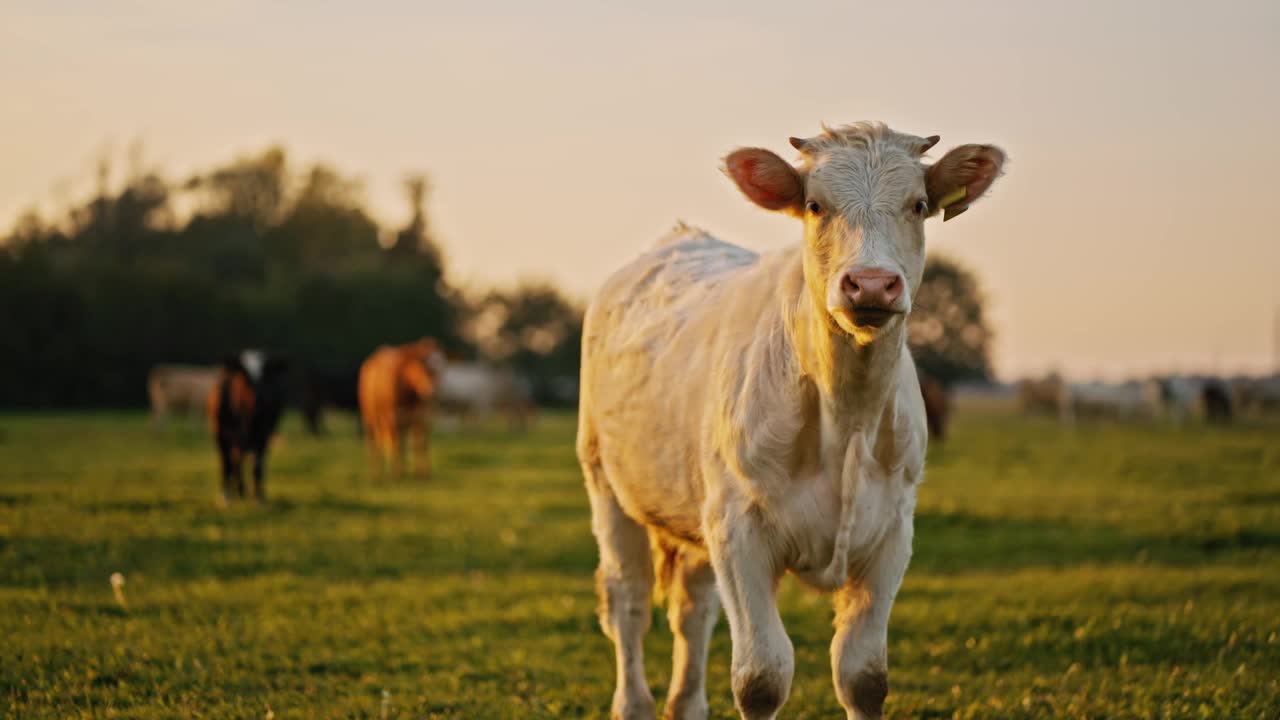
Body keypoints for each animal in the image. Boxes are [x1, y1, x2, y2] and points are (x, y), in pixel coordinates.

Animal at [207, 351, 290, 502]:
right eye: (245, 376)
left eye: (266, 376)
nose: (259, 399)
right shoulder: (222, 434)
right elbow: (227, 463)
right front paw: (225, 496)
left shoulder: (263, 434)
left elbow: (257, 466)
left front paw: (259, 497)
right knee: (231, 461)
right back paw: (235, 492)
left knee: (242, 460)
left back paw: (244, 491)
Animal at [358, 335, 448, 476]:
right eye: (424, 366)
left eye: (441, 369)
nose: (432, 391)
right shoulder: (393, 416)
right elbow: (397, 444)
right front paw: (397, 474)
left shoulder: (421, 416)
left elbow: (421, 444)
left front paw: (423, 474)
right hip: (370, 416)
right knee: (375, 442)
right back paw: (376, 473)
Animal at [581, 120, 1008, 712]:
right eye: (814, 204)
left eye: (919, 205)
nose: (870, 283)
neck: (847, 419)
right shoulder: (739, 528)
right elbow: (761, 677)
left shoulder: (892, 531)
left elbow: (863, 675)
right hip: (606, 480)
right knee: (628, 601)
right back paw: (634, 704)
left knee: (692, 609)